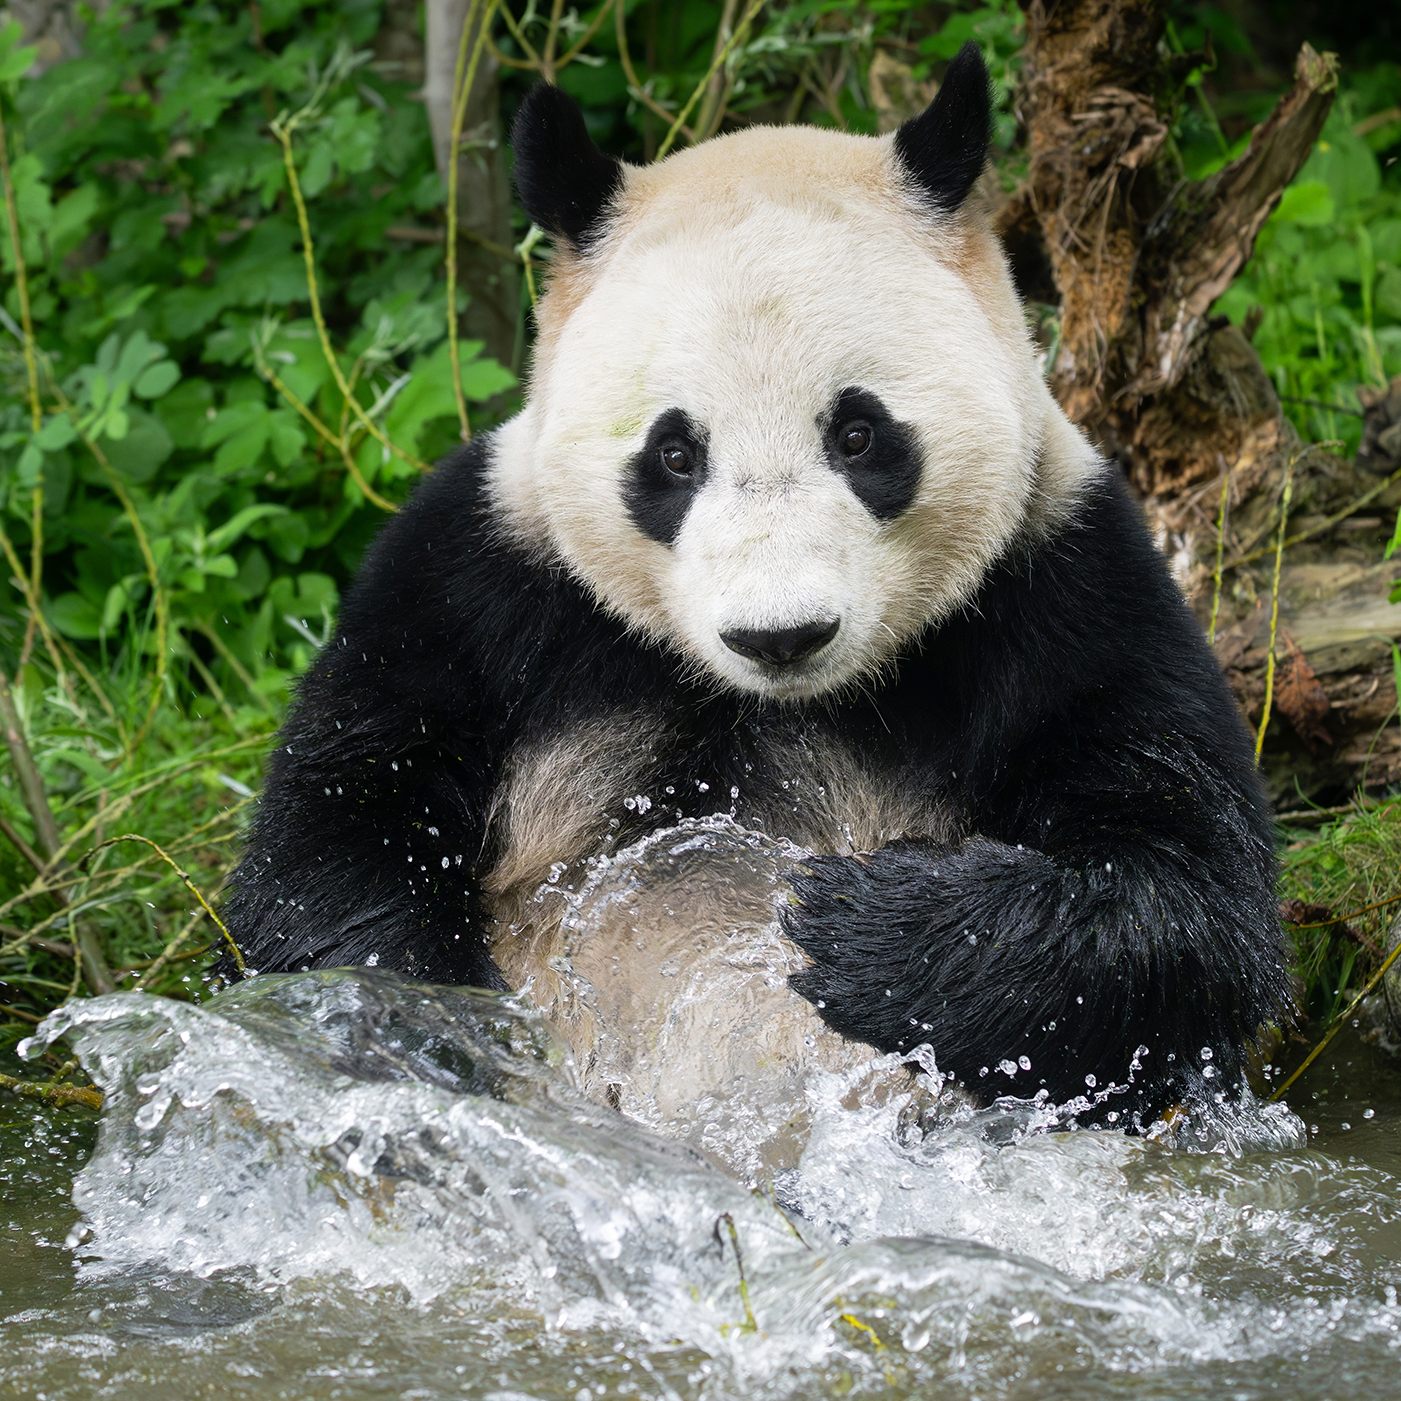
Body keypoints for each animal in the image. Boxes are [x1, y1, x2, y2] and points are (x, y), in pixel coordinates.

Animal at [225, 44, 1289, 1132]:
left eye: (858, 434)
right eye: (674, 452)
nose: (780, 635)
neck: (768, 700)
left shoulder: (1064, 589)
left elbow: (1184, 893)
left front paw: (866, 920)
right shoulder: (476, 581)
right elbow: (338, 830)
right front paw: (429, 1021)